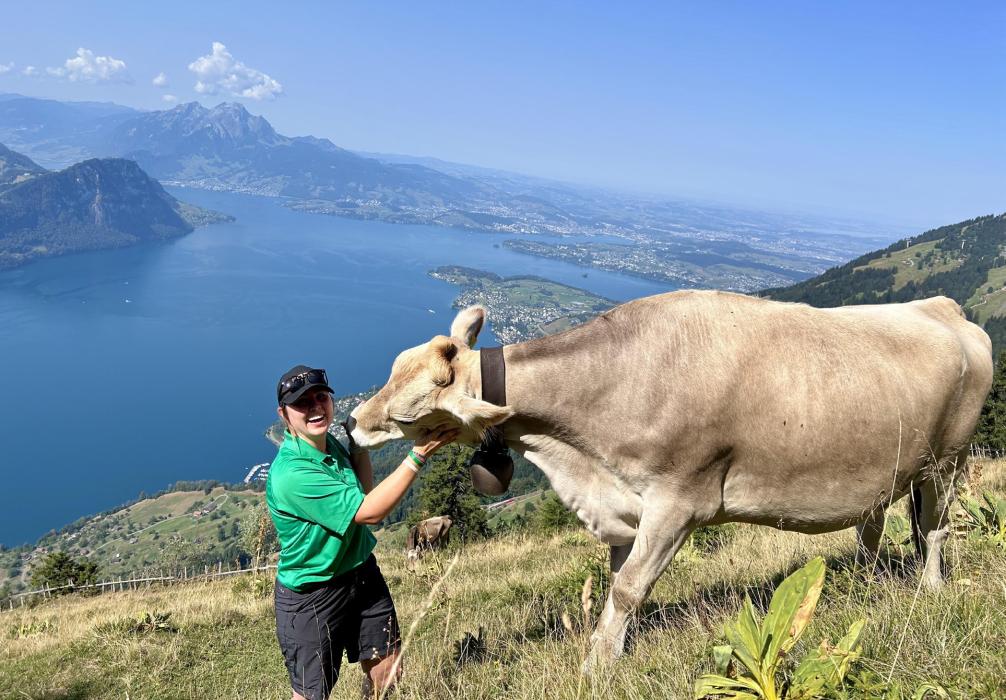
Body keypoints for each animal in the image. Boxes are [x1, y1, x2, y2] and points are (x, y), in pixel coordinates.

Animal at [348, 290, 993, 669]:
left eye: (409, 415)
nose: (354, 421)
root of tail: (947, 308)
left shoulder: (678, 502)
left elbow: (630, 588)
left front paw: (597, 665)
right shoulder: (624, 505)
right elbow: (617, 583)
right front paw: (616, 648)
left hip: (948, 460)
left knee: (935, 530)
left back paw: (931, 588)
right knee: (875, 529)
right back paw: (863, 580)